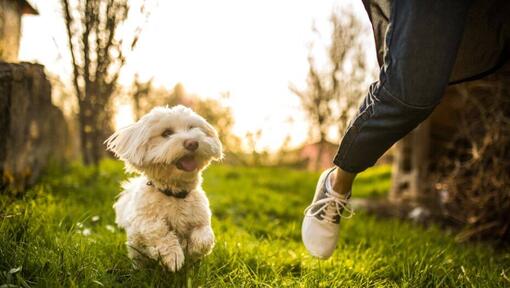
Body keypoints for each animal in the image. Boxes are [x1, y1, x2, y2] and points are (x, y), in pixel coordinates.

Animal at [105, 104, 221, 272]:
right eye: (167, 133)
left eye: (192, 128)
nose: (192, 143)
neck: (174, 193)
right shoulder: (144, 220)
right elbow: (160, 232)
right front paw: (174, 257)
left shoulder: (201, 218)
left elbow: (204, 236)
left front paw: (192, 249)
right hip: (135, 248)